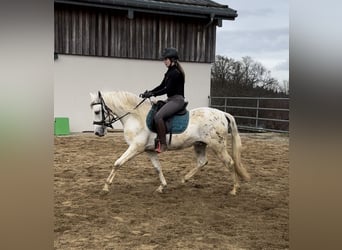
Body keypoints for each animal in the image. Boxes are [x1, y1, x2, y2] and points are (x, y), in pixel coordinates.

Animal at [90, 90, 251, 195]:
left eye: (97, 112)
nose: (98, 132)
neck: (136, 116)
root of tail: (223, 113)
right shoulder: (150, 150)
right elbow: (157, 168)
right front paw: (162, 186)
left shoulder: (136, 148)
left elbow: (117, 163)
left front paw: (106, 187)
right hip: (199, 144)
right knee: (202, 162)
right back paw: (184, 179)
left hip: (217, 146)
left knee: (230, 162)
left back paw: (234, 189)